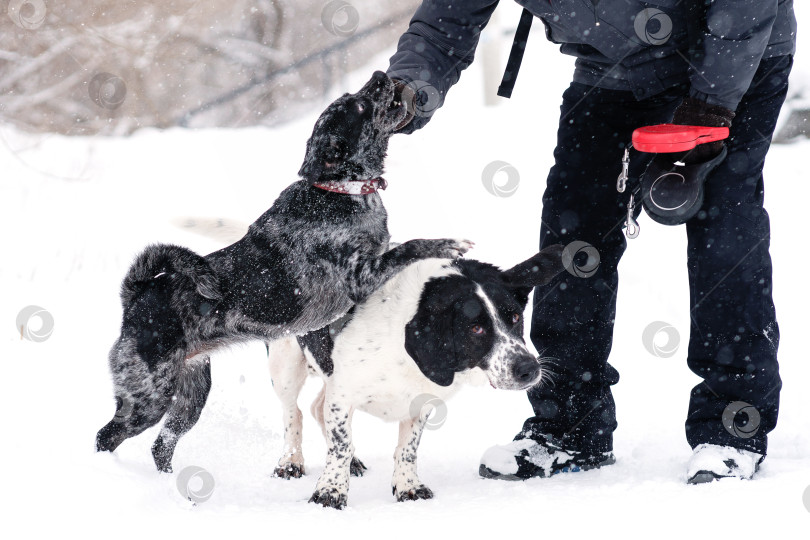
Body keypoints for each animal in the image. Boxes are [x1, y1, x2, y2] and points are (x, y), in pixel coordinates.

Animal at [96, 71, 474, 472]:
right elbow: (411, 246)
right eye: (357, 105)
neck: (339, 191)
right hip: (149, 397)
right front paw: (447, 245)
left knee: (161, 446)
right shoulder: (362, 276)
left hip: (191, 396)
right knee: (107, 436)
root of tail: (136, 295)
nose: (380, 74)